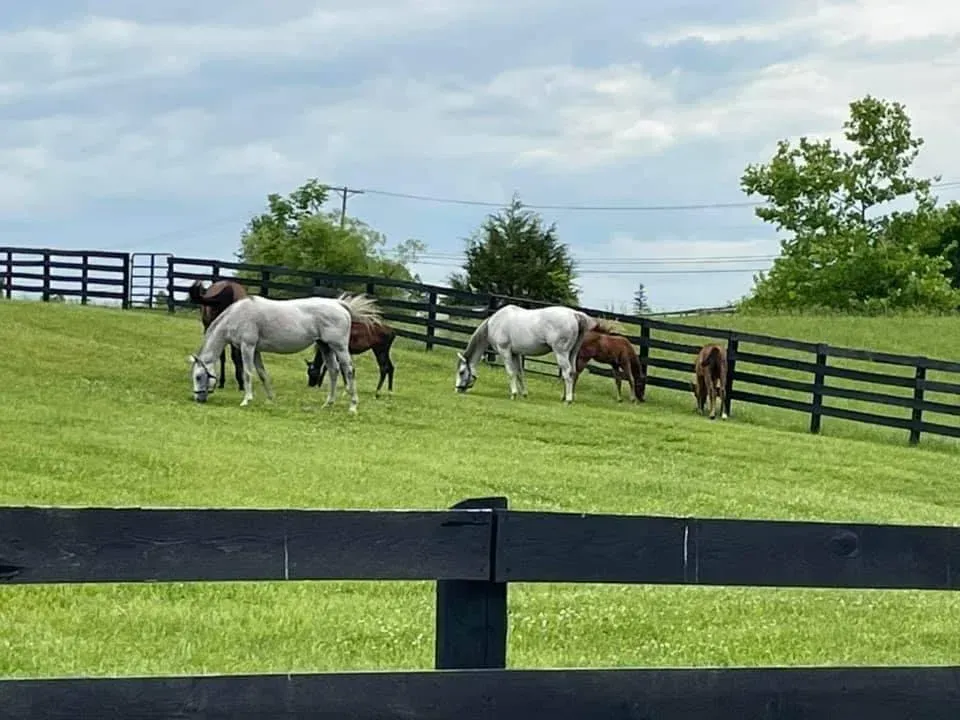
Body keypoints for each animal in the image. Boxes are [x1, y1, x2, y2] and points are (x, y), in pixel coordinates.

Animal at [187, 293, 382, 413]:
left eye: (198, 376)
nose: (198, 399)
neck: (237, 315)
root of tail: (339, 304)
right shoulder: (256, 350)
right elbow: (262, 374)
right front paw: (270, 399)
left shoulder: (247, 347)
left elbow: (247, 373)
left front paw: (246, 400)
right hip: (325, 346)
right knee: (334, 371)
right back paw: (328, 403)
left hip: (339, 347)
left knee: (348, 371)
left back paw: (353, 407)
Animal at [454, 304, 611, 404]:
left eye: (461, 372)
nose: (458, 389)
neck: (495, 323)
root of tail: (574, 314)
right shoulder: (515, 354)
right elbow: (520, 373)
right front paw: (524, 394)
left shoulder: (505, 352)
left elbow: (511, 372)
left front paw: (513, 394)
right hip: (572, 353)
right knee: (573, 373)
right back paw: (565, 396)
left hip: (561, 353)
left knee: (567, 373)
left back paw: (568, 400)